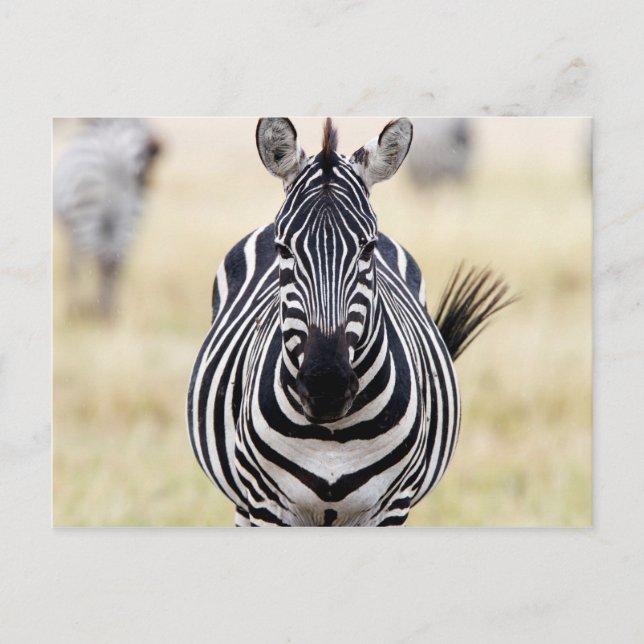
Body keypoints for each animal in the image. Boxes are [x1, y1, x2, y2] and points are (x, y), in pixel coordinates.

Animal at [53, 118, 161, 318]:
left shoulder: (71, 229)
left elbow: (73, 266)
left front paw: (74, 306)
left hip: (86, 214)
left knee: (97, 261)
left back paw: (83, 308)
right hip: (129, 220)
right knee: (114, 262)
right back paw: (109, 312)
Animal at [187, 118, 512, 527]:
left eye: (367, 248)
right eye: (283, 249)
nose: (326, 387)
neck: (333, 436)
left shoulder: (392, 507)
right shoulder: (266, 504)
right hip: (244, 502)